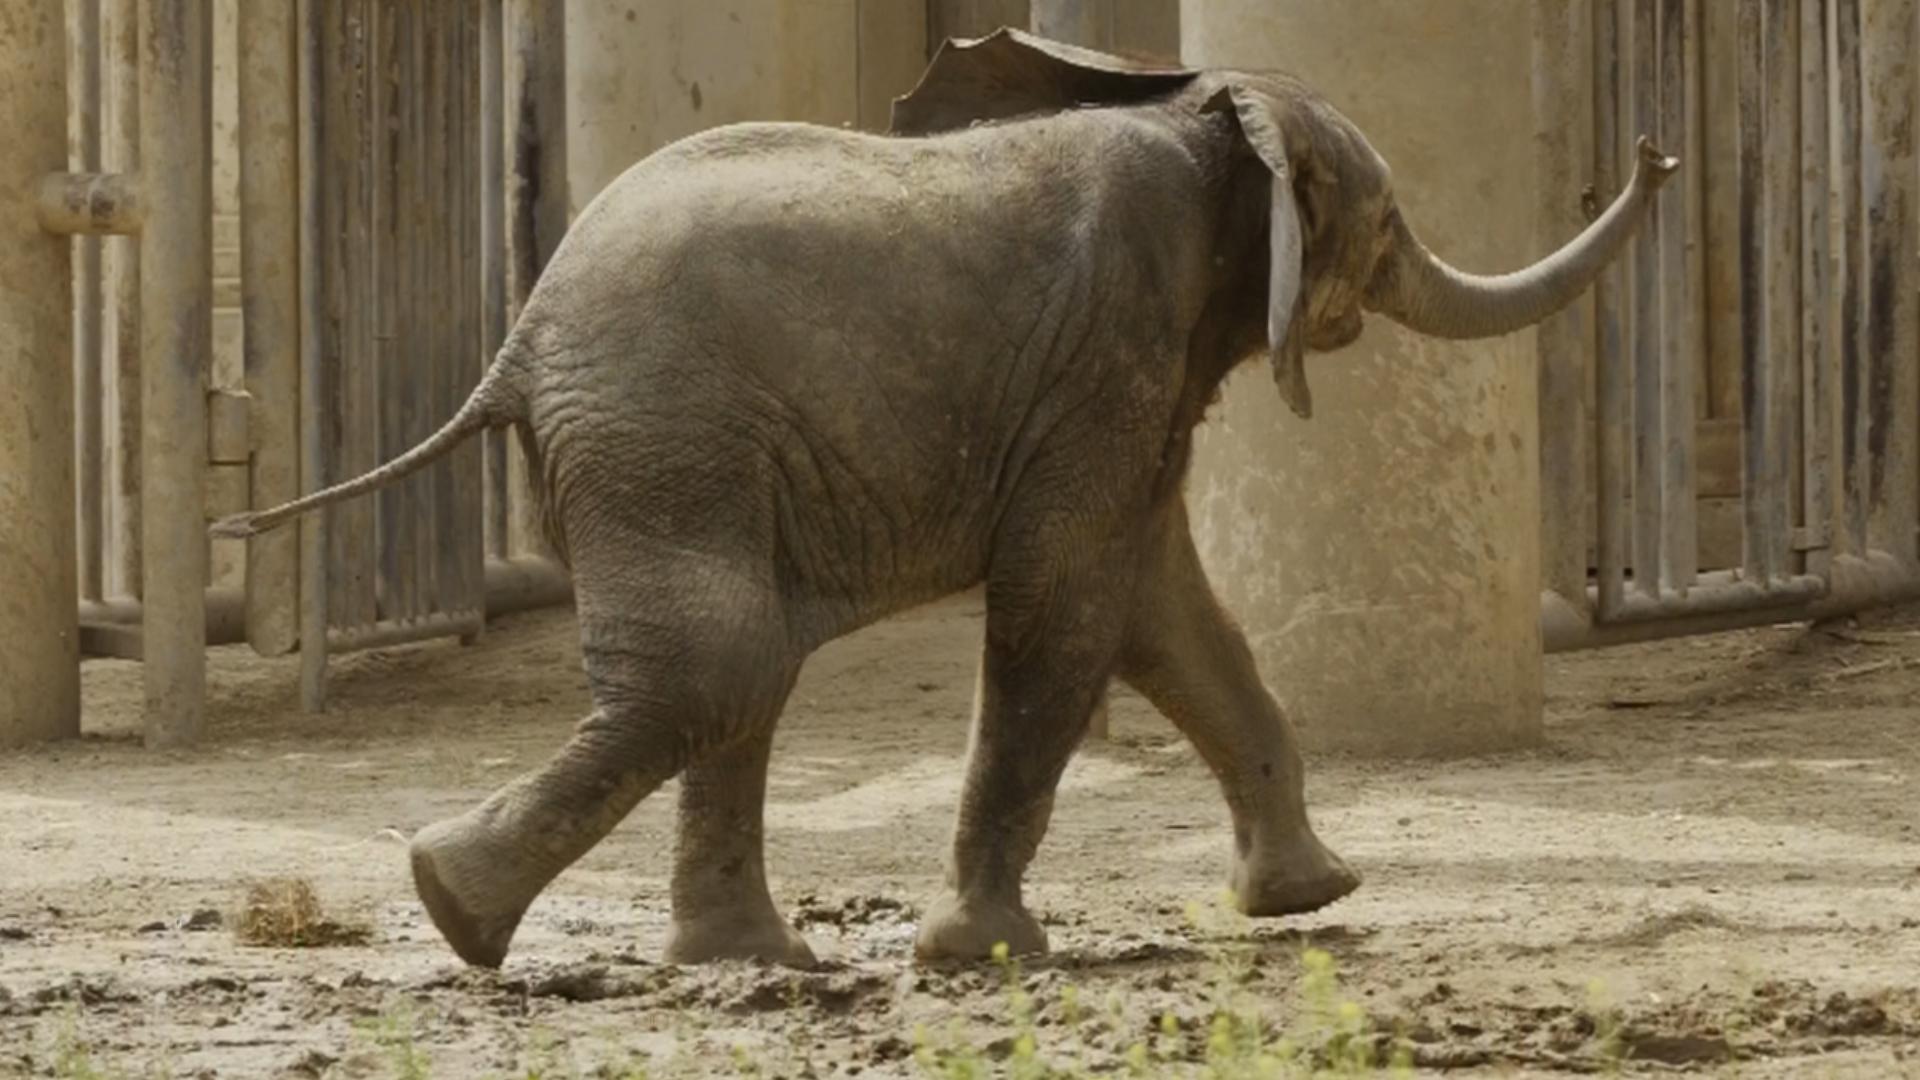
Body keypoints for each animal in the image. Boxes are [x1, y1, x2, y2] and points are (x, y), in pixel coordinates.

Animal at [214, 29, 1677, 969]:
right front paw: (982, 956)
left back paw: (742, 964)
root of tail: (515, 346)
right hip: (665, 443)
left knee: (736, 680)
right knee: (721, 668)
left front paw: (1307, 902)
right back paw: (459, 909)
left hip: (671, 456)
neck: (1202, 119)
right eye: (1383, 229)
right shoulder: (1109, 352)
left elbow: (1168, 617)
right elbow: (1068, 608)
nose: (1656, 156)